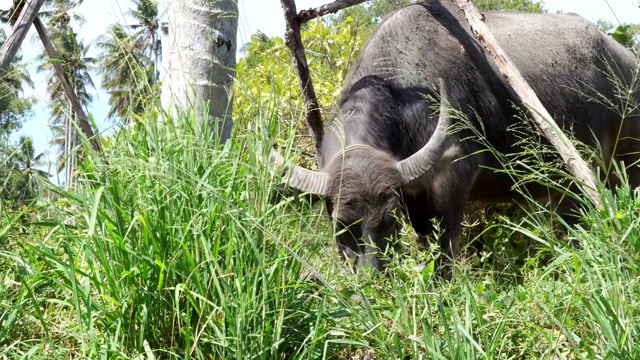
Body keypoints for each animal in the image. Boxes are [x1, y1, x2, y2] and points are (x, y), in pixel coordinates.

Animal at [272, 0, 640, 276]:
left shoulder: (454, 174)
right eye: (342, 227)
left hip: (626, 160)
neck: (403, 93)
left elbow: (442, 241)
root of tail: (627, 59)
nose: (372, 278)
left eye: (389, 220)